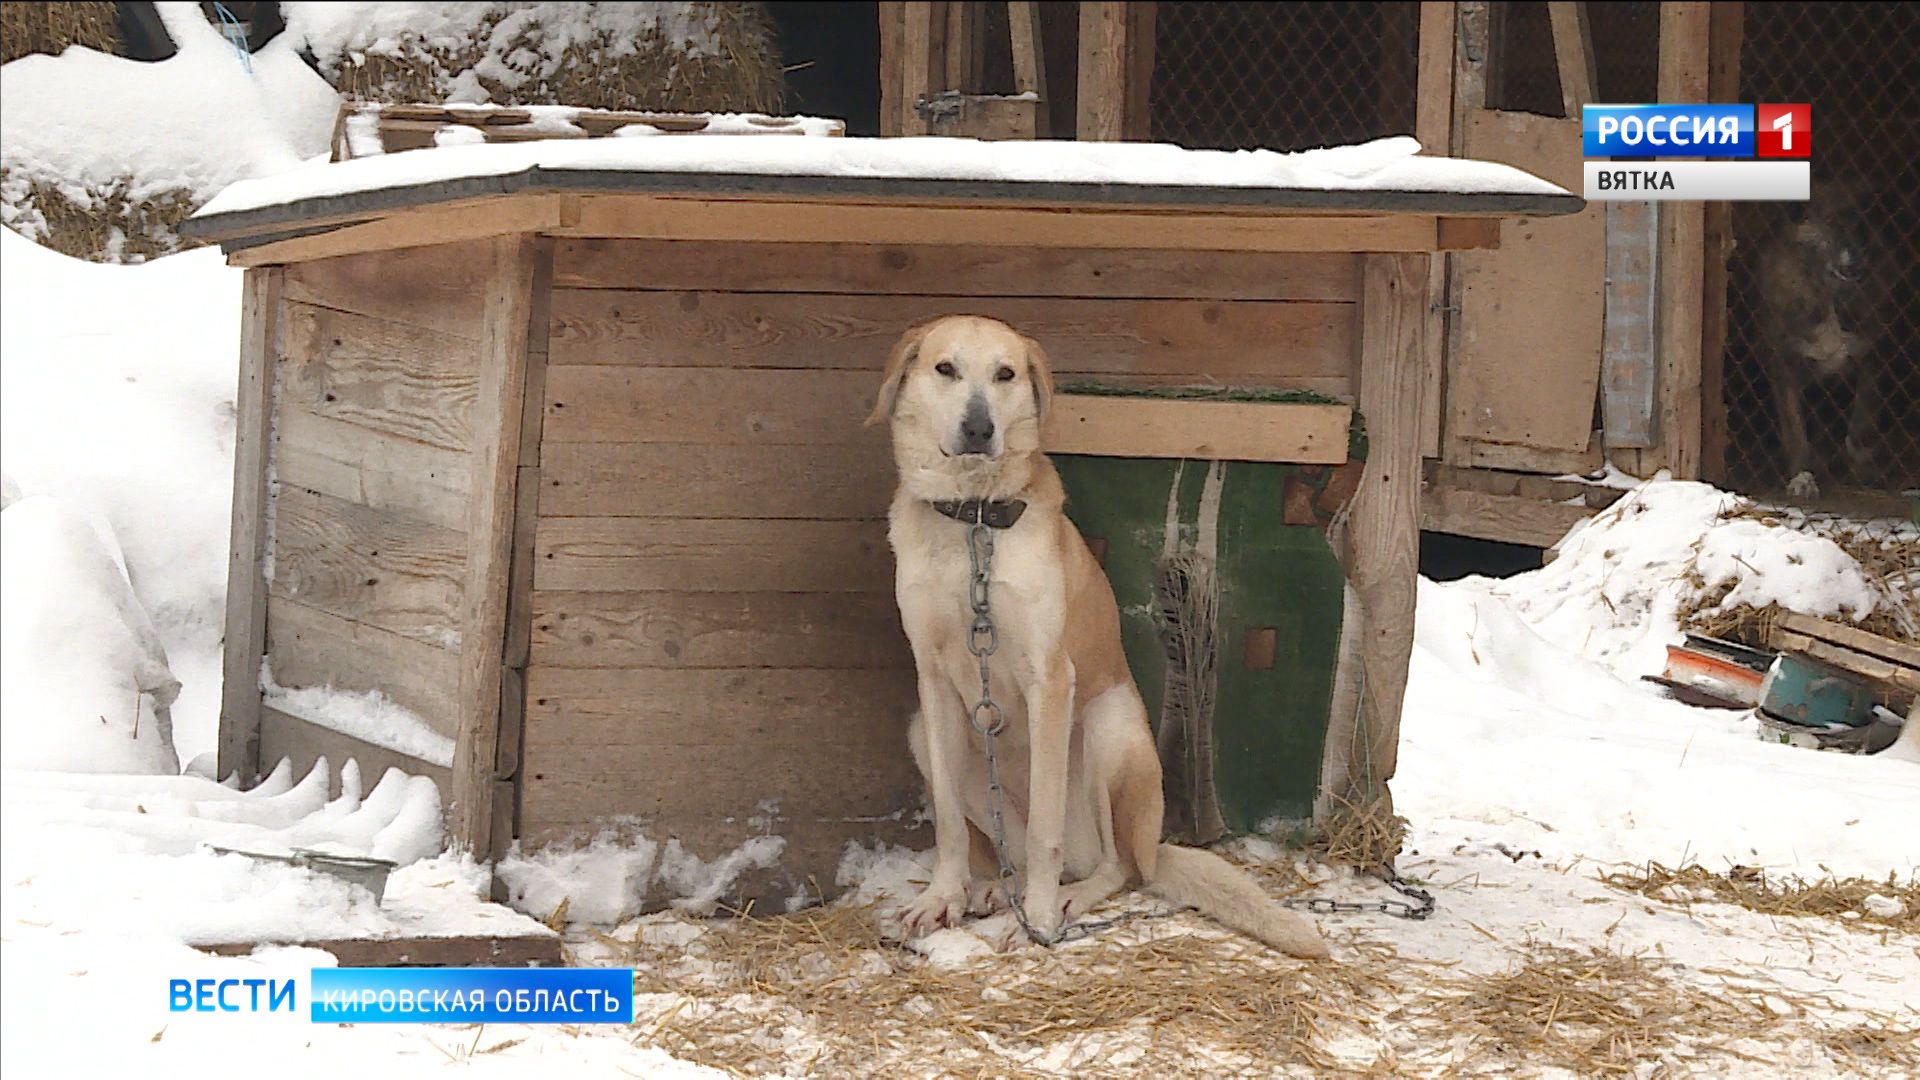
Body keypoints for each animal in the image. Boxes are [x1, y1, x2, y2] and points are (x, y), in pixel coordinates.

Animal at [875, 315, 1336, 953]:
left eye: (1005, 373)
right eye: (946, 369)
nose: (979, 428)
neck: (974, 522)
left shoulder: (1050, 680)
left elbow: (1044, 826)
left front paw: (1039, 917)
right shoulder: (934, 681)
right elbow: (947, 822)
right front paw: (943, 897)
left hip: (1108, 726)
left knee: (1118, 866)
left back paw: (1063, 898)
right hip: (922, 732)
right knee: (1016, 851)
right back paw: (994, 890)